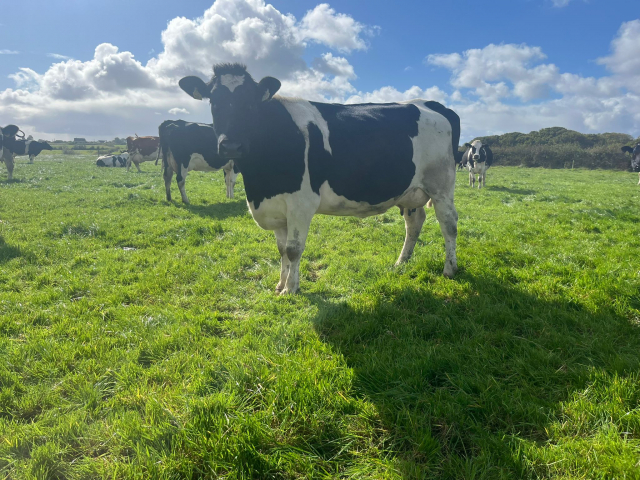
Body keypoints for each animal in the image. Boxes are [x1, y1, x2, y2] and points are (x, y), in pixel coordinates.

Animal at [180, 62, 460, 296]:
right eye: (214, 101)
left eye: (250, 103)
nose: (231, 145)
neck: (260, 184)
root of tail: (433, 104)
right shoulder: (277, 208)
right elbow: (281, 249)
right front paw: (280, 283)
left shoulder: (300, 204)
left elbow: (293, 249)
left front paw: (290, 289)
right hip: (411, 191)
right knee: (414, 223)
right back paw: (401, 262)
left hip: (441, 185)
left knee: (449, 224)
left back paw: (449, 269)